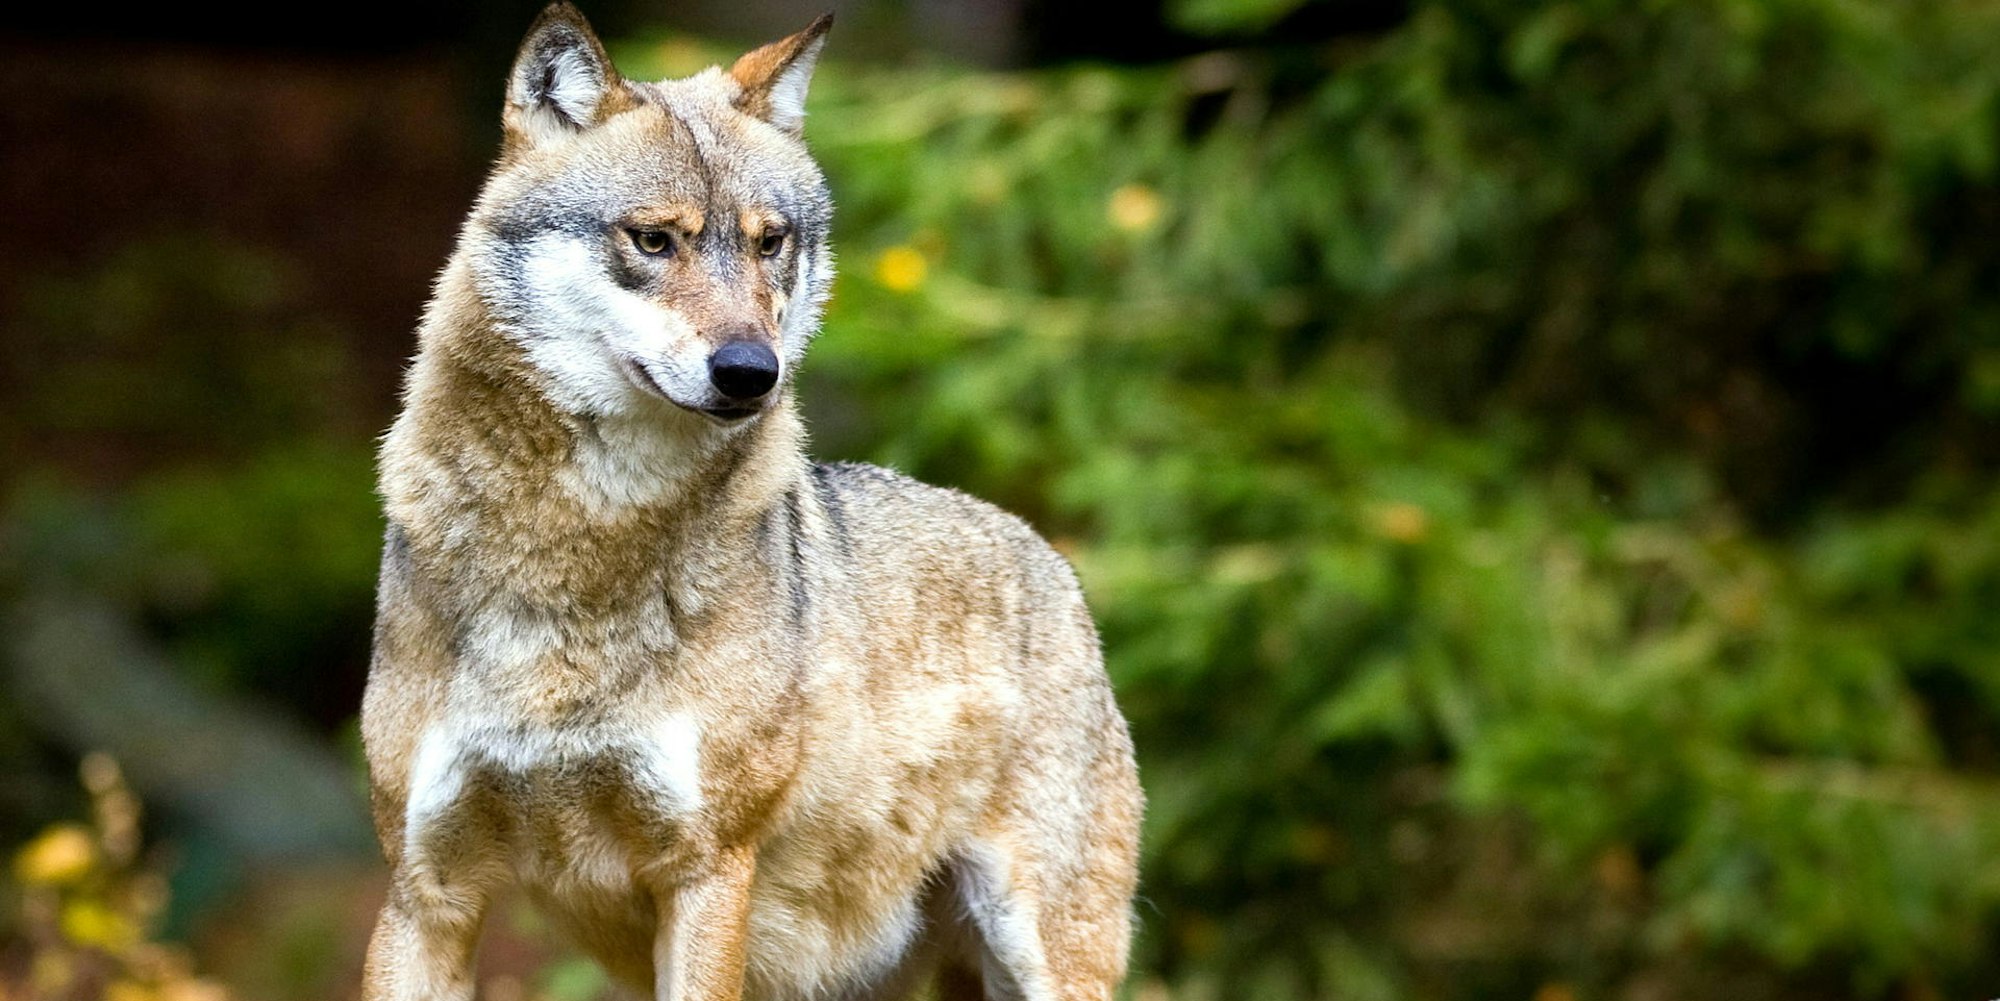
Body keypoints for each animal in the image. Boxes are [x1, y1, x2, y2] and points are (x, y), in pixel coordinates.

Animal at [359, 6, 1142, 1001]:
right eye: (654, 240)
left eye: (771, 242)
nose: (749, 371)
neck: (577, 551)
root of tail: (1048, 556)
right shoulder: (425, 892)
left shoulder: (707, 871)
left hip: (1039, 952)